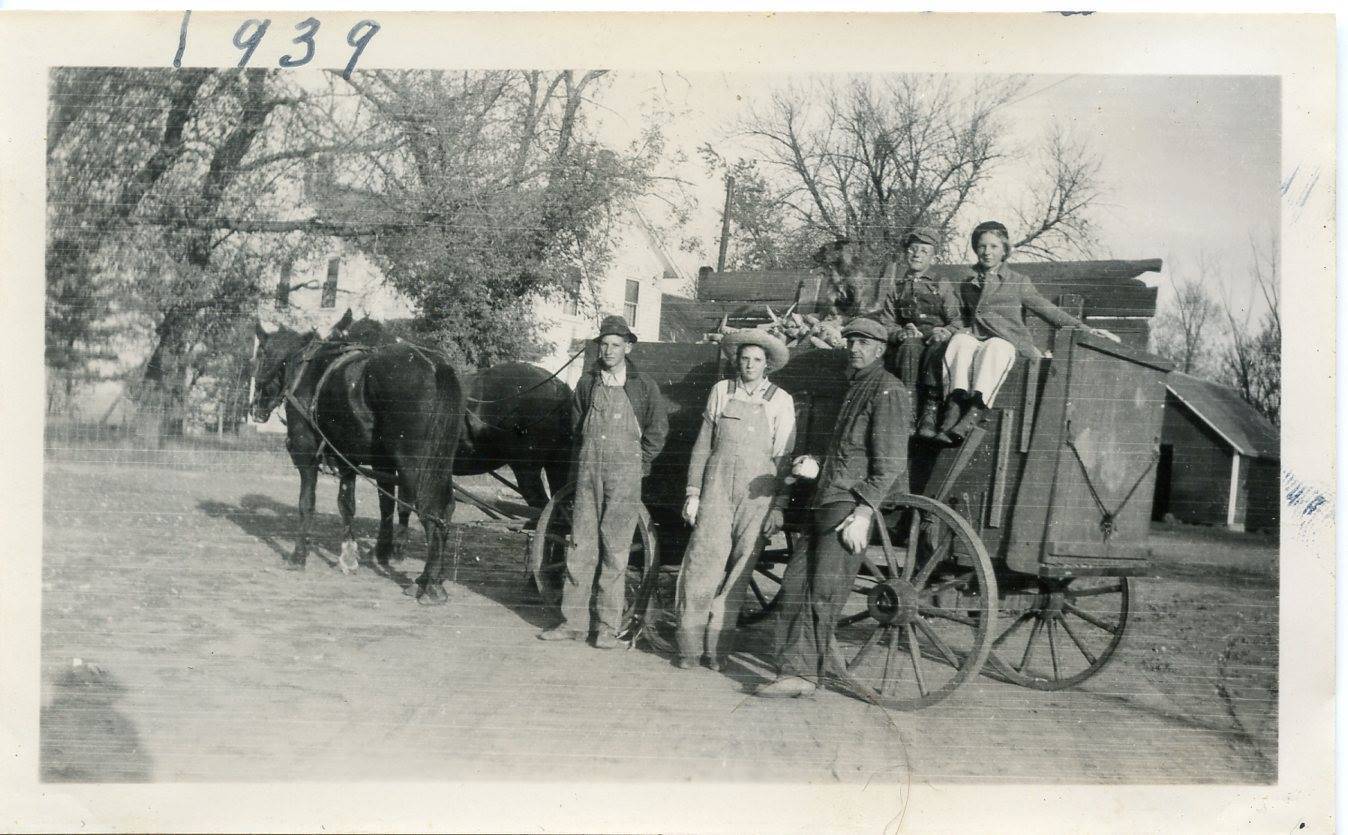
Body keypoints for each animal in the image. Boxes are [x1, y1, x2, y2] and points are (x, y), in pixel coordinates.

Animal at [253, 317, 469, 604]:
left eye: (259, 355)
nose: (256, 407)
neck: (304, 369)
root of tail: (435, 365)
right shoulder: (352, 460)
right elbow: (355, 505)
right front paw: (350, 555)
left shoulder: (306, 456)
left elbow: (306, 504)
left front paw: (299, 556)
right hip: (437, 464)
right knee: (445, 509)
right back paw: (432, 578)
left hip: (415, 466)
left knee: (431, 510)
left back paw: (429, 584)